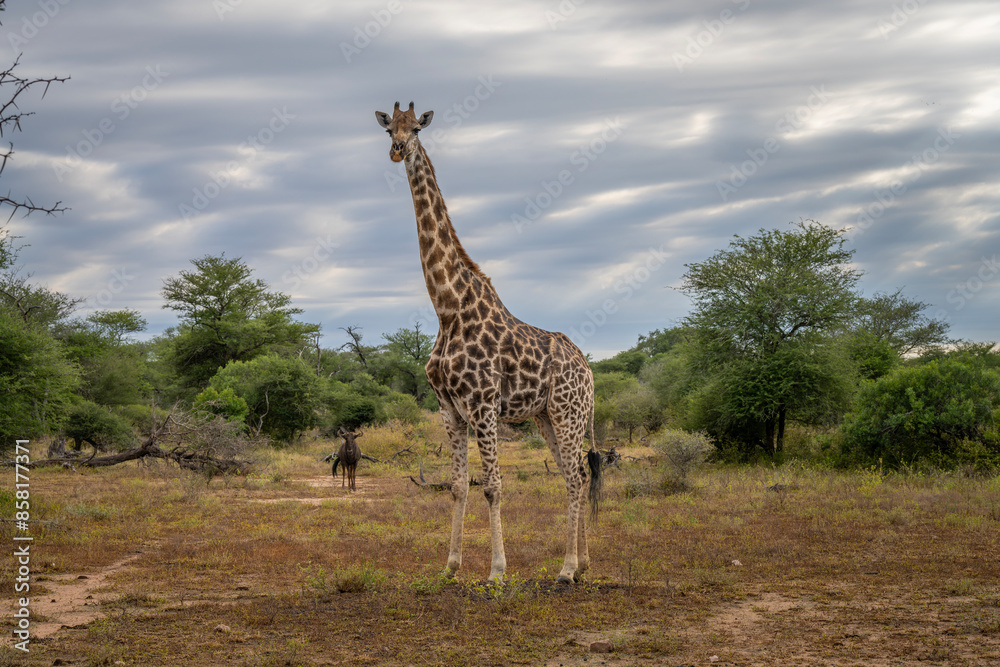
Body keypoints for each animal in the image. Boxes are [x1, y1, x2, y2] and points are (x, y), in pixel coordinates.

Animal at [375, 101, 602, 584]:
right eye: (389, 129)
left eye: (416, 128)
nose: (397, 150)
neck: (447, 307)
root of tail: (589, 370)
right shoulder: (450, 409)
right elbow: (459, 487)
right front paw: (451, 566)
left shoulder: (482, 404)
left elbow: (494, 486)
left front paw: (497, 570)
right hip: (545, 417)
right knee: (572, 473)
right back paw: (583, 564)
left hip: (568, 412)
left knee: (575, 477)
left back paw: (566, 569)